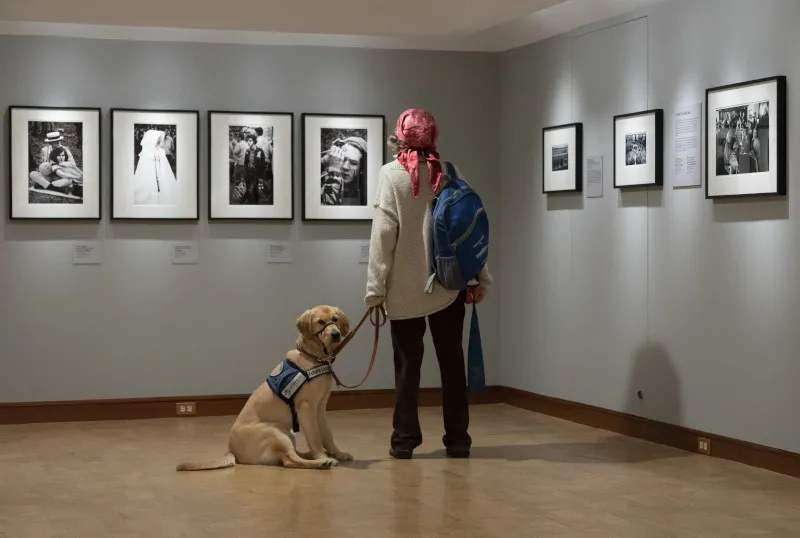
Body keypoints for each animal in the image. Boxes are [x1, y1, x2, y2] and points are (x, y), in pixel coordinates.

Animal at [178, 306, 354, 468]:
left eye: (335, 319)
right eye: (320, 322)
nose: (336, 334)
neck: (314, 357)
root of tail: (231, 451)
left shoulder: (320, 408)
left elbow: (327, 435)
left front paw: (337, 453)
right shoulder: (306, 408)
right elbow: (315, 437)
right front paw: (322, 456)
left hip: (288, 433)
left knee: (290, 457)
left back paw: (312, 455)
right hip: (275, 431)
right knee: (290, 460)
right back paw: (320, 462)